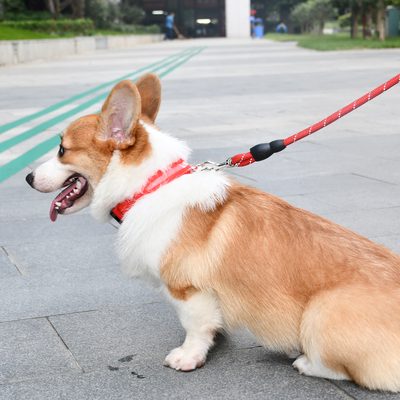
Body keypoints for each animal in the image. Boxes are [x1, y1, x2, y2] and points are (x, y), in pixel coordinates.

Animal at [25, 73, 400, 392]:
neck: (149, 186)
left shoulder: (187, 290)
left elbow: (195, 327)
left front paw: (188, 357)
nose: (27, 178)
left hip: (320, 313)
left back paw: (305, 363)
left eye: (62, 150)